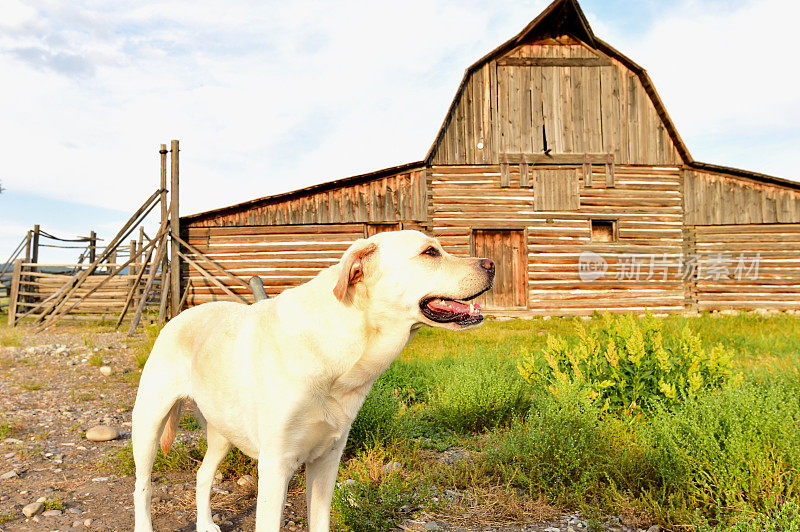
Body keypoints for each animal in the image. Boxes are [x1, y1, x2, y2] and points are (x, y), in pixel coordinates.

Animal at [131, 231, 494, 532]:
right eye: (430, 252)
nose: (491, 264)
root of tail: (177, 316)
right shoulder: (275, 466)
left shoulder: (327, 461)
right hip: (148, 424)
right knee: (142, 486)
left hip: (222, 431)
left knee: (203, 475)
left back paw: (206, 524)